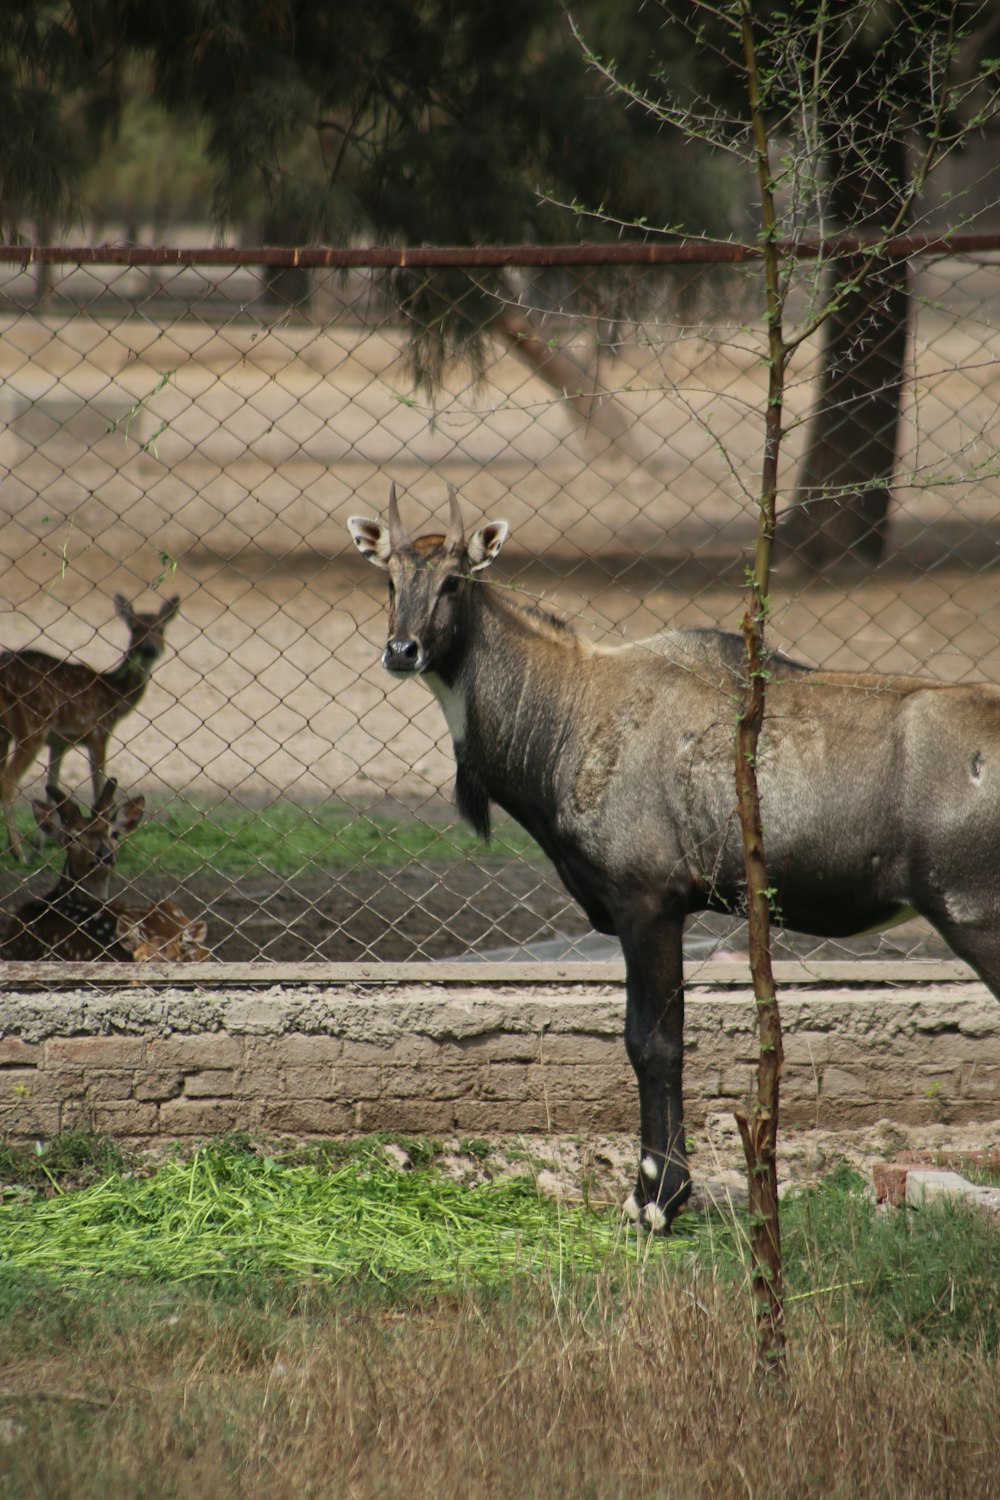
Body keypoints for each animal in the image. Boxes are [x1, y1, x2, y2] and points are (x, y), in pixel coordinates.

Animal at [0, 594, 177, 858]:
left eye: (161, 628)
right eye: (135, 628)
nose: (150, 649)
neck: (115, 695)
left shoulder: (59, 742)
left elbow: (52, 788)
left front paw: (43, 846)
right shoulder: (98, 733)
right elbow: (99, 789)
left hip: (7, 732)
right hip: (31, 727)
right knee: (7, 780)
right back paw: (17, 852)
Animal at [350, 486, 1000, 1236]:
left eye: (455, 580)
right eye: (389, 579)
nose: (402, 650)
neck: (568, 712)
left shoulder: (647, 902)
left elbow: (652, 1043)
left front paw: (657, 1197)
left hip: (974, 915)